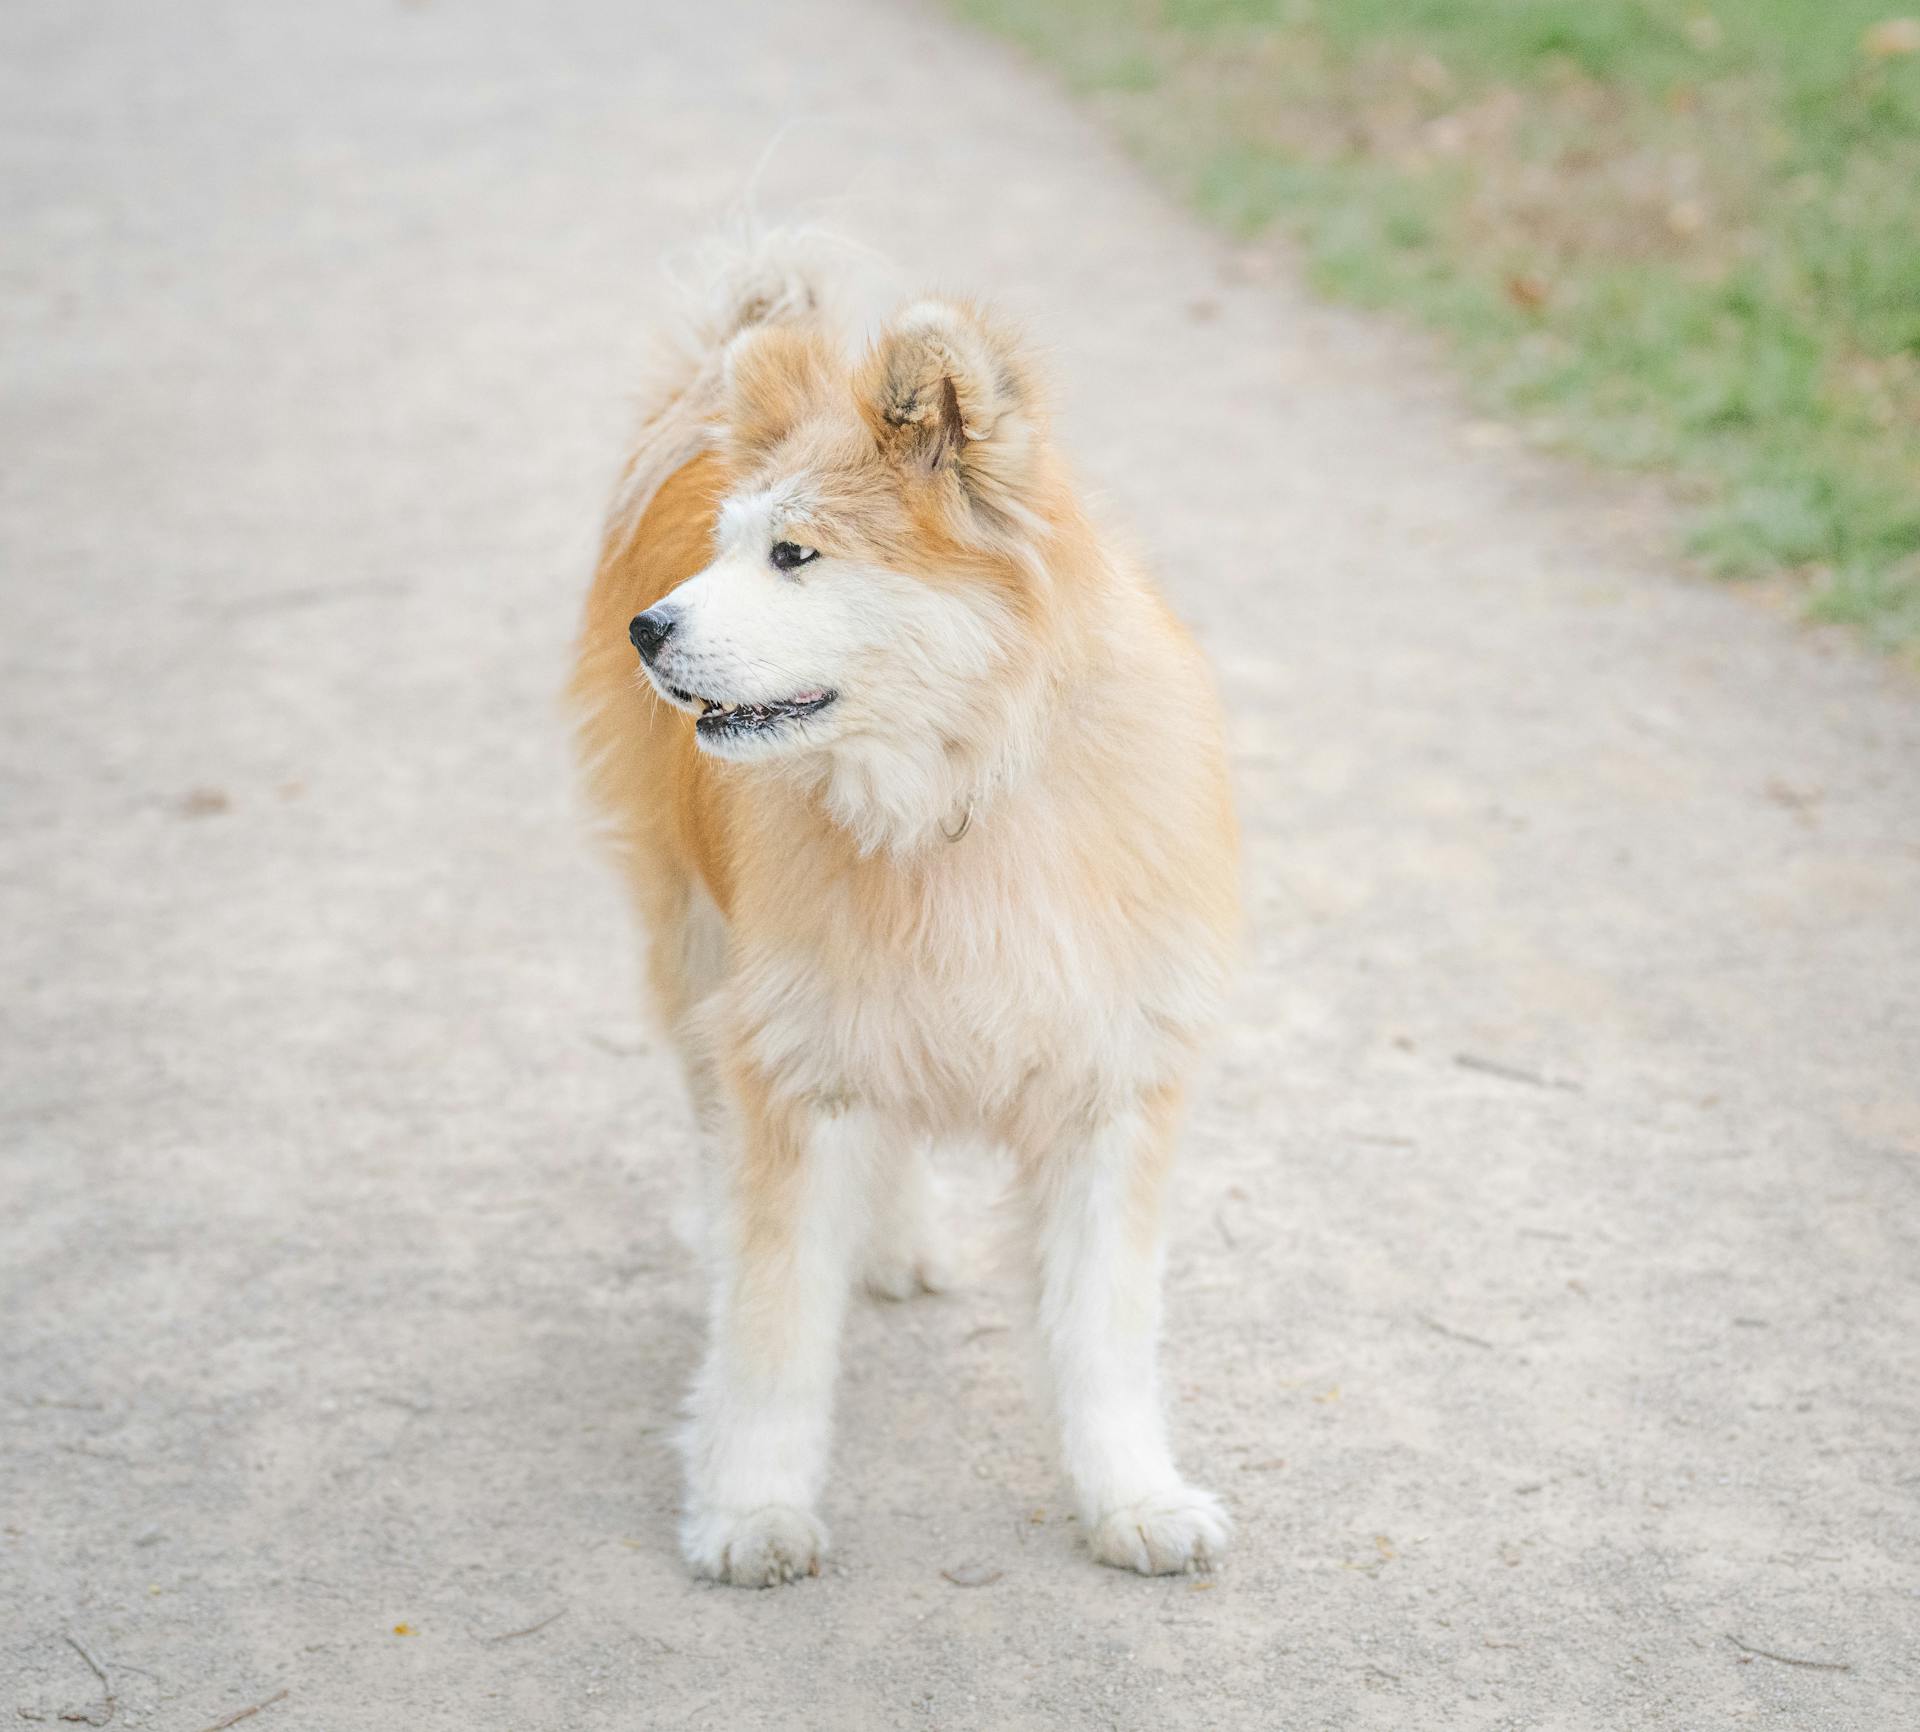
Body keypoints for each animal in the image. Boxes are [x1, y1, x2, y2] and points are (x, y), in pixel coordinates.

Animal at [568, 237, 1236, 1589]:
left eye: (795, 555)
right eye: (728, 545)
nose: (647, 629)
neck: (962, 791)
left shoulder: (1109, 1079)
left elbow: (1105, 1332)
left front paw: (1132, 1495)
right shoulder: (788, 1058)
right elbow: (772, 1324)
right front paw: (751, 1506)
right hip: (702, 954)